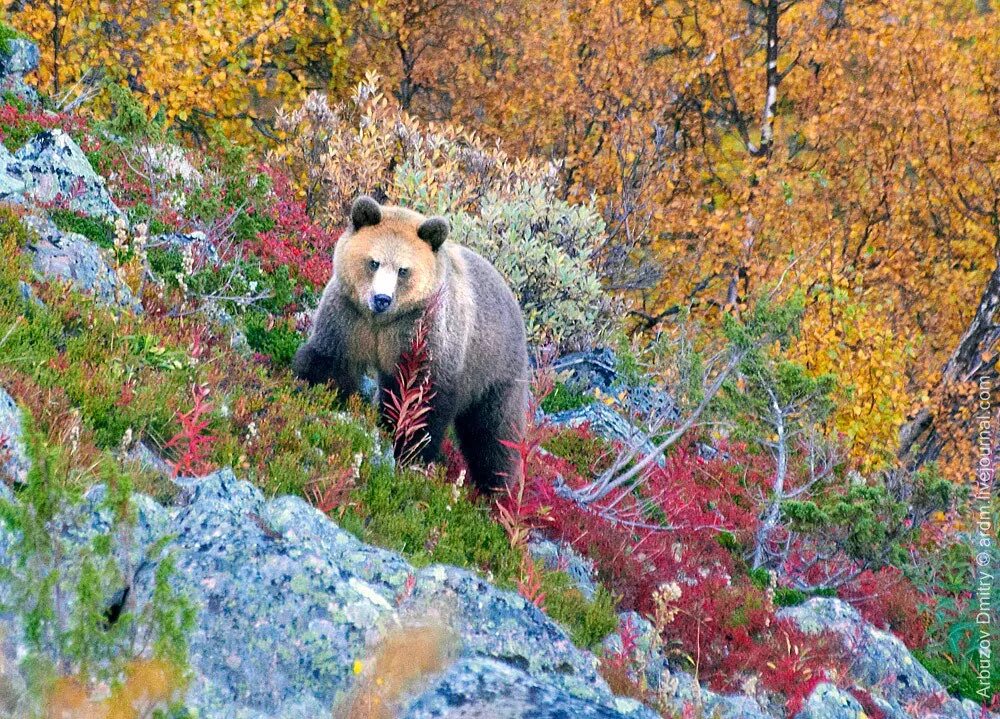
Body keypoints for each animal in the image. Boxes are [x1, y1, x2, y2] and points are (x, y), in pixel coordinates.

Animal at [292, 194, 532, 492]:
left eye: (403, 270)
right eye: (374, 262)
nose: (382, 298)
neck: (382, 323)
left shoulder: (423, 332)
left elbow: (422, 398)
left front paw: (410, 451)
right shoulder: (350, 318)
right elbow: (330, 360)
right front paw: (311, 388)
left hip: (494, 369)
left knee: (495, 433)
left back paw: (498, 488)